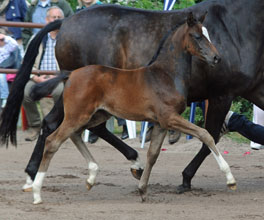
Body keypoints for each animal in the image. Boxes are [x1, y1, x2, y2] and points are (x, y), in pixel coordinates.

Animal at [31, 12, 235, 204]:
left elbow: (153, 155)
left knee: (76, 134)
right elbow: (205, 134)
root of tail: (71, 75)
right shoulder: (169, 117)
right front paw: (230, 179)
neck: (166, 75)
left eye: (207, 34)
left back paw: (91, 177)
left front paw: (142, 190)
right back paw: (36, 193)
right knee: (53, 141)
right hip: (77, 115)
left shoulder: (160, 123)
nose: (216, 58)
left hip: (97, 115)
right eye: (197, 36)